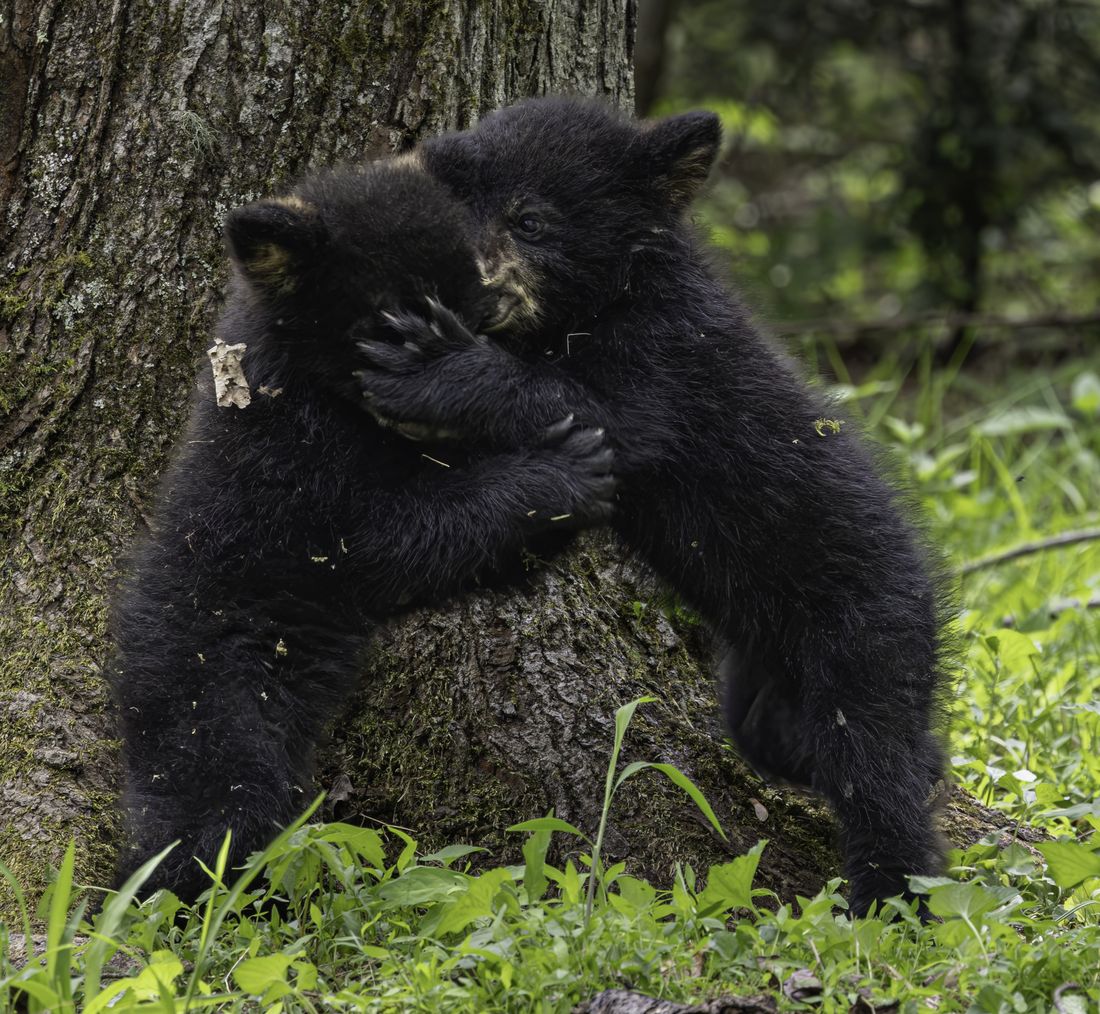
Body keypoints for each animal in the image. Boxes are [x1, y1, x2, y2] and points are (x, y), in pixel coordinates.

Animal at [109, 160, 615, 901]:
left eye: (467, 318)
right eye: (392, 322)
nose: (432, 412)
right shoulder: (290, 475)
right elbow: (384, 538)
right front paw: (566, 469)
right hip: (211, 680)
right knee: (218, 799)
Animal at [352, 98, 951, 918]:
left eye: (529, 219)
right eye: (457, 215)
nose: (478, 291)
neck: (611, 295)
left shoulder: (666, 357)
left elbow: (598, 417)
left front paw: (430, 365)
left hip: (862, 631)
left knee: (872, 761)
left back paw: (892, 895)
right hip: (760, 680)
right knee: (786, 739)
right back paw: (927, 766)